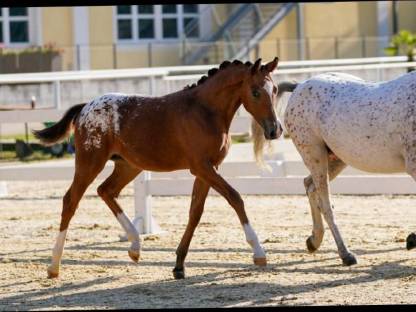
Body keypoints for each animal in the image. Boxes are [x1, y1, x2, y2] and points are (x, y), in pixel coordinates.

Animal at [34, 56, 282, 280]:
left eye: (276, 89)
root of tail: (85, 107)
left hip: (128, 166)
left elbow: (195, 212)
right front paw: (259, 252)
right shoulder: (202, 167)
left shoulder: (207, 169)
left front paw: (179, 266)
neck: (205, 111)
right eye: (255, 92)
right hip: (90, 162)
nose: (275, 130)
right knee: (71, 200)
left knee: (106, 191)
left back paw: (135, 247)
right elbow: (235, 198)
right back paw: (54, 266)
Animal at [252, 70, 416, 266]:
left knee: (310, 186)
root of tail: (299, 86)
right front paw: (412, 239)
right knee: (325, 203)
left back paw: (314, 241)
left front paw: (412, 238)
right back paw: (345, 254)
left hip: (336, 159)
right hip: (315, 155)